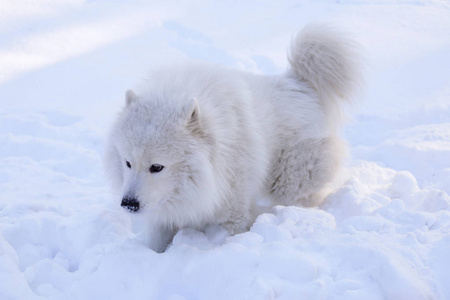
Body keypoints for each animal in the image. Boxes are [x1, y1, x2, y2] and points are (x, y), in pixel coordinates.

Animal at [103, 24, 360, 253]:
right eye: (127, 163)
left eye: (157, 167)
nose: (128, 204)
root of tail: (299, 82)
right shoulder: (164, 212)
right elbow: (157, 241)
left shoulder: (233, 207)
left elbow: (235, 231)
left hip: (292, 180)